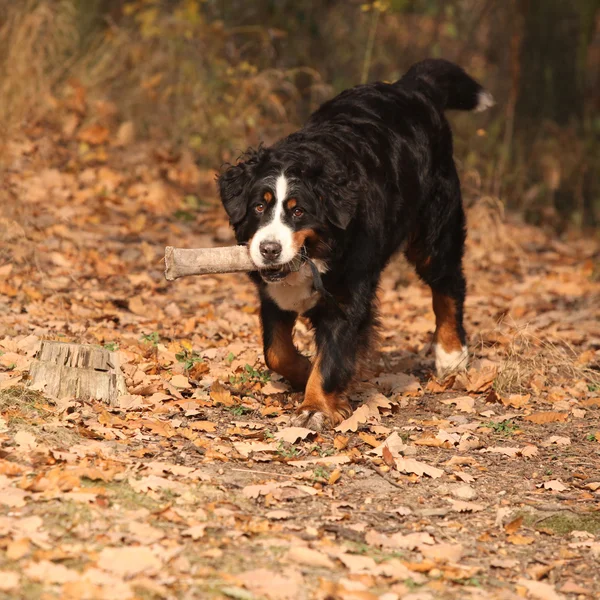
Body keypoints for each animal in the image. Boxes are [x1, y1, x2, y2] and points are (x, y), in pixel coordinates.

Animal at [218, 58, 494, 428]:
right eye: (259, 207)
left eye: (299, 211)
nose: (269, 250)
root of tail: (410, 86)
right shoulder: (272, 294)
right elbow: (276, 351)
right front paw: (303, 370)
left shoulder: (348, 294)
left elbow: (331, 358)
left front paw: (316, 406)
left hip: (434, 234)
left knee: (449, 285)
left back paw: (451, 354)